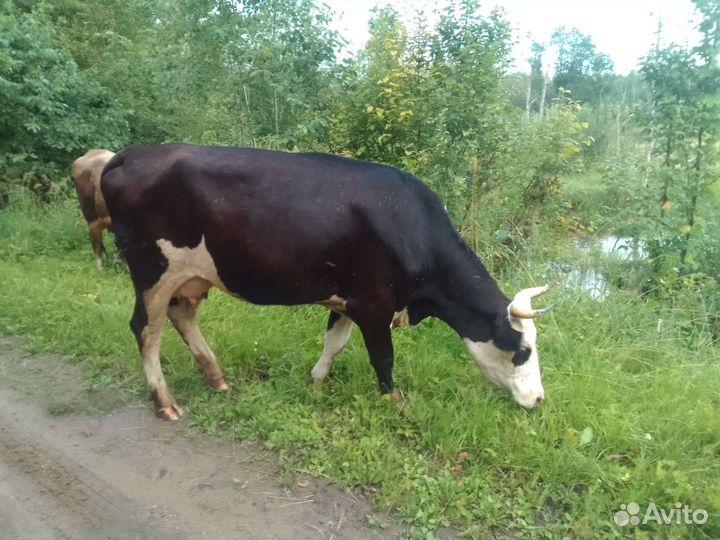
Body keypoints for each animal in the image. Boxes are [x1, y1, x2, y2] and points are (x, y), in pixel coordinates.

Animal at [101, 144, 554, 421]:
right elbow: (383, 358)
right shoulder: (375, 304)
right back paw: (165, 402)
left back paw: (216, 377)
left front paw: (317, 380)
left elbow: (335, 342)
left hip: (192, 275)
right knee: (146, 329)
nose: (538, 399)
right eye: (523, 350)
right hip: (152, 270)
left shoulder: (349, 299)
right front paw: (392, 400)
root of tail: (133, 153)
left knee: (182, 316)